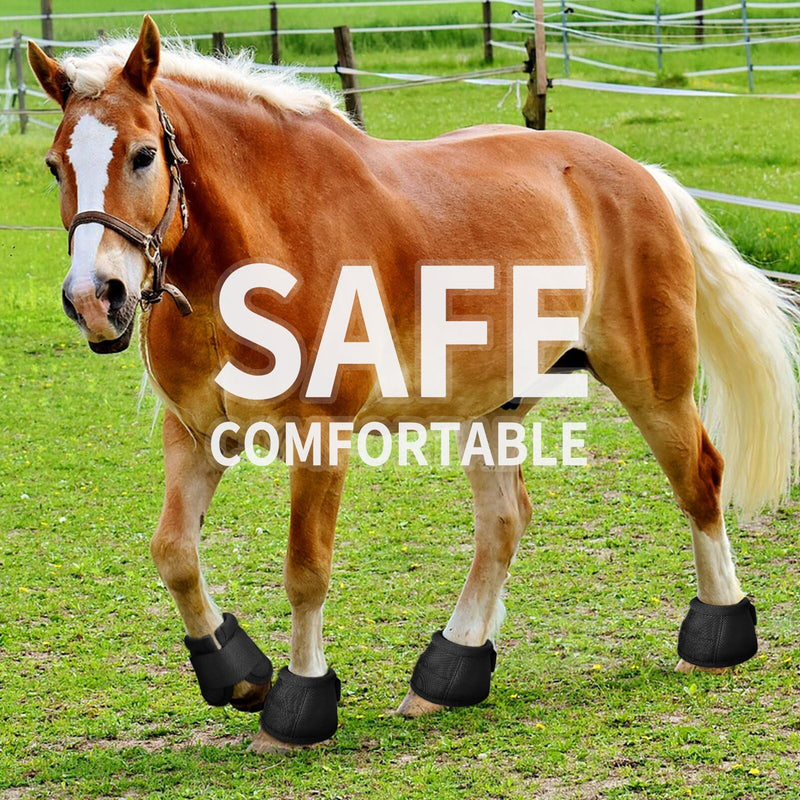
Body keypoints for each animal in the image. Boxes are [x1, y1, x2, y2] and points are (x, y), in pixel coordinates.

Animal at [29, 16, 800, 753]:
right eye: (53, 165)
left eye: (143, 155)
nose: (96, 298)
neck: (250, 254)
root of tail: (640, 175)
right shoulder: (195, 433)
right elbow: (174, 554)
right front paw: (239, 674)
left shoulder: (321, 437)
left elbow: (305, 569)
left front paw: (298, 708)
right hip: (495, 405)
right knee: (504, 523)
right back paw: (449, 674)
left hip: (653, 385)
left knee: (699, 479)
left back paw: (718, 639)